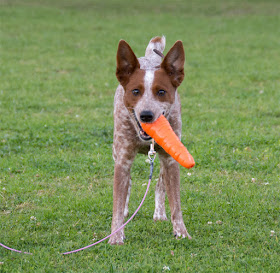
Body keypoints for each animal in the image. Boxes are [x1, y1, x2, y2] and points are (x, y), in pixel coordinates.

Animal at [108, 36, 191, 244]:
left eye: (161, 92)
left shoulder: (171, 160)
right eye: (135, 91)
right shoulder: (123, 159)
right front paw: (116, 237)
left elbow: (175, 203)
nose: (146, 115)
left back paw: (159, 213)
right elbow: (118, 202)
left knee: (160, 184)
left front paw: (181, 233)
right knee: (127, 184)